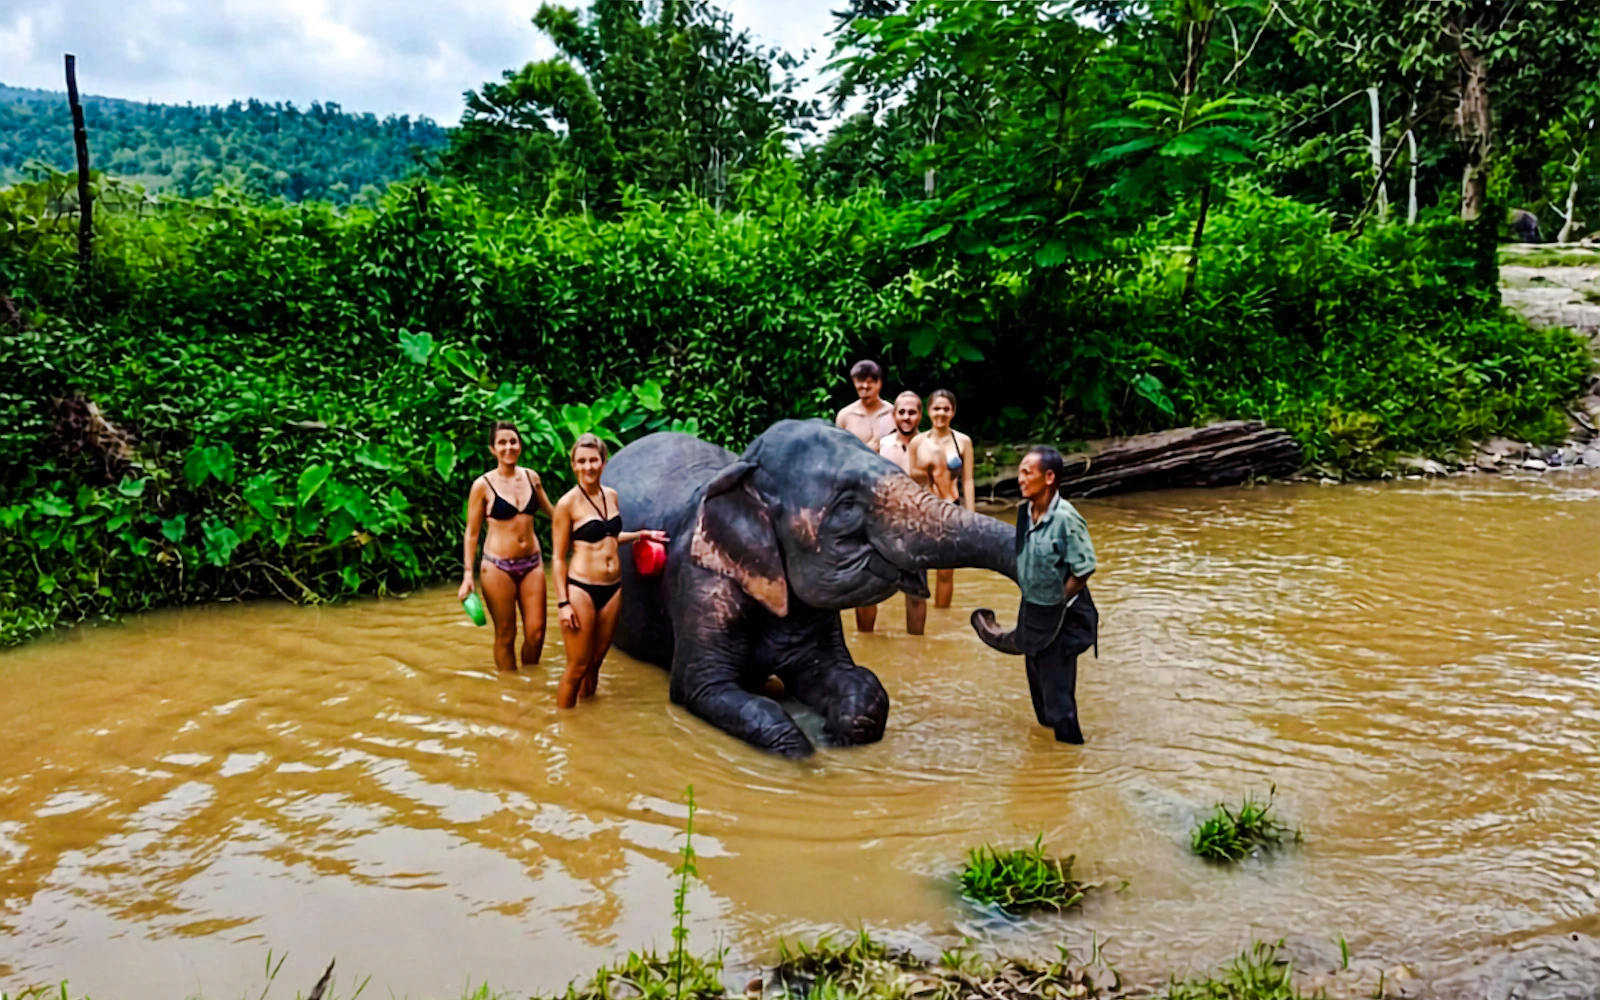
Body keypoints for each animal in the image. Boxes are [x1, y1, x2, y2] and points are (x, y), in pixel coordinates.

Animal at [606, 419, 1018, 757]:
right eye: (848, 505)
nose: (987, 613)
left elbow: (845, 677)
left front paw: (837, 731)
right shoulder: (699, 581)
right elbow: (701, 686)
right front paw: (805, 748)